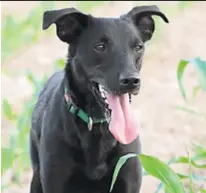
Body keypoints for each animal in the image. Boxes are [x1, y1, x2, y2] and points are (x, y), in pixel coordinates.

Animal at [29, 4, 169, 193]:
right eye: (100, 47)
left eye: (138, 47)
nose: (131, 81)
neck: (97, 127)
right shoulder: (54, 182)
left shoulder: (128, 177)